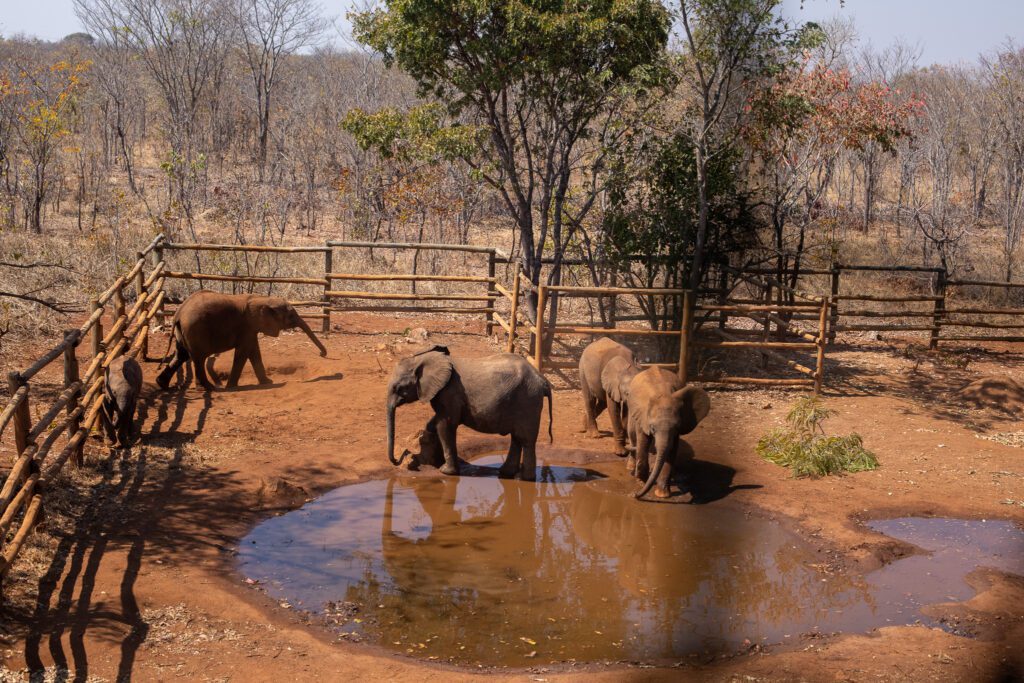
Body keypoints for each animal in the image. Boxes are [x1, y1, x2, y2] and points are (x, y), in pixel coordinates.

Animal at [154, 290, 327, 393]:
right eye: (290, 316)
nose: (322, 354)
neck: (261, 299)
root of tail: (178, 314)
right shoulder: (247, 326)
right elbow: (244, 352)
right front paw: (231, 386)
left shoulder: (251, 329)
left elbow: (254, 351)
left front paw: (267, 382)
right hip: (196, 330)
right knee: (198, 358)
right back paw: (209, 388)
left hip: (184, 333)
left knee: (181, 355)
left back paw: (162, 385)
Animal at [387, 348, 557, 481]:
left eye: (398, 388)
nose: (401, 456)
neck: (423, 359)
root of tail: (543, 380)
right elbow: (437, 421)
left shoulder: (449, 393)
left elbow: (445, 425)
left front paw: (446, 471)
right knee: (516, 438)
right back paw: (506, 473)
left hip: (528, 400)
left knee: (526, 440)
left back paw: (524, 478)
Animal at [622, 366, 712, 499]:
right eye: (652, 428)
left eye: (677, 427)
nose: (634, 495)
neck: (663, 393)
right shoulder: (643, 417)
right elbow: (643, 443)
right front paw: (641, 482)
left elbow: (671, 450)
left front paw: (662, 495)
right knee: (633, 436)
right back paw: (631, 468)